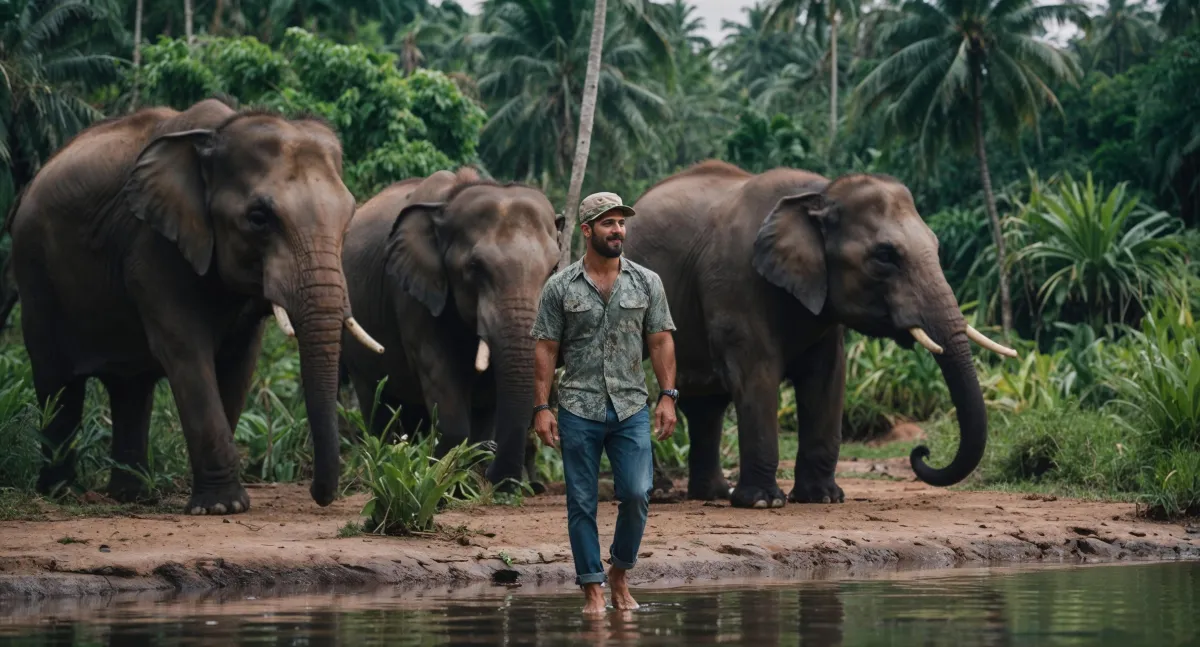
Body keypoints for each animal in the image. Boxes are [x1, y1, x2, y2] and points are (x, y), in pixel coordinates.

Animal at [8, 97, 384, 516]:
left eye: (348, 219)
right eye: (258, 218)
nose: (320, 496)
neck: (217, 133)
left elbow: (240, 361)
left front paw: (218, 502)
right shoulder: (151, 246)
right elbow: (186, 349)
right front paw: (223, 507)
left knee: (130, 389)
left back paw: (133, 495)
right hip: (36, 273)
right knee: (58, 383)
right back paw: (61, 493)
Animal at [338, 169, 561, 489]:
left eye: (554, 268)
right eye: (475, 267)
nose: (495, 471)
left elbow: (488, 396)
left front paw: (471, 471)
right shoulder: (411, 295)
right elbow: (438, 371)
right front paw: (449, 482)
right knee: (376, 403)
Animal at [624, 159, 1017, 508]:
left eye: (936, 248)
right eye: (885, 256)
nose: (921, 452)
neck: (820, 196)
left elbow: (826, 379)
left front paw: (824, 498)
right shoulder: (736, 281)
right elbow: (757, 374)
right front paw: (763, 503)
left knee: (707, 403)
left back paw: (714, 494)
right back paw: (660, 493)